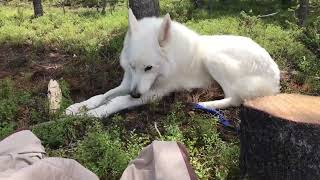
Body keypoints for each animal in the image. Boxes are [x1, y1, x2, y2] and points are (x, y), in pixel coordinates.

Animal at [65, 9, 280, 118]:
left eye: (149, 68)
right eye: (133, 67)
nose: (135, 95)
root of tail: (276, 74)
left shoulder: (156, 93)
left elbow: (117, 101)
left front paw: (93, 114)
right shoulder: (129, 83)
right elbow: (102, 95)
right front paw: (78, 107)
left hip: (212, 57)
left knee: (235, 99)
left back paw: (204, 104)